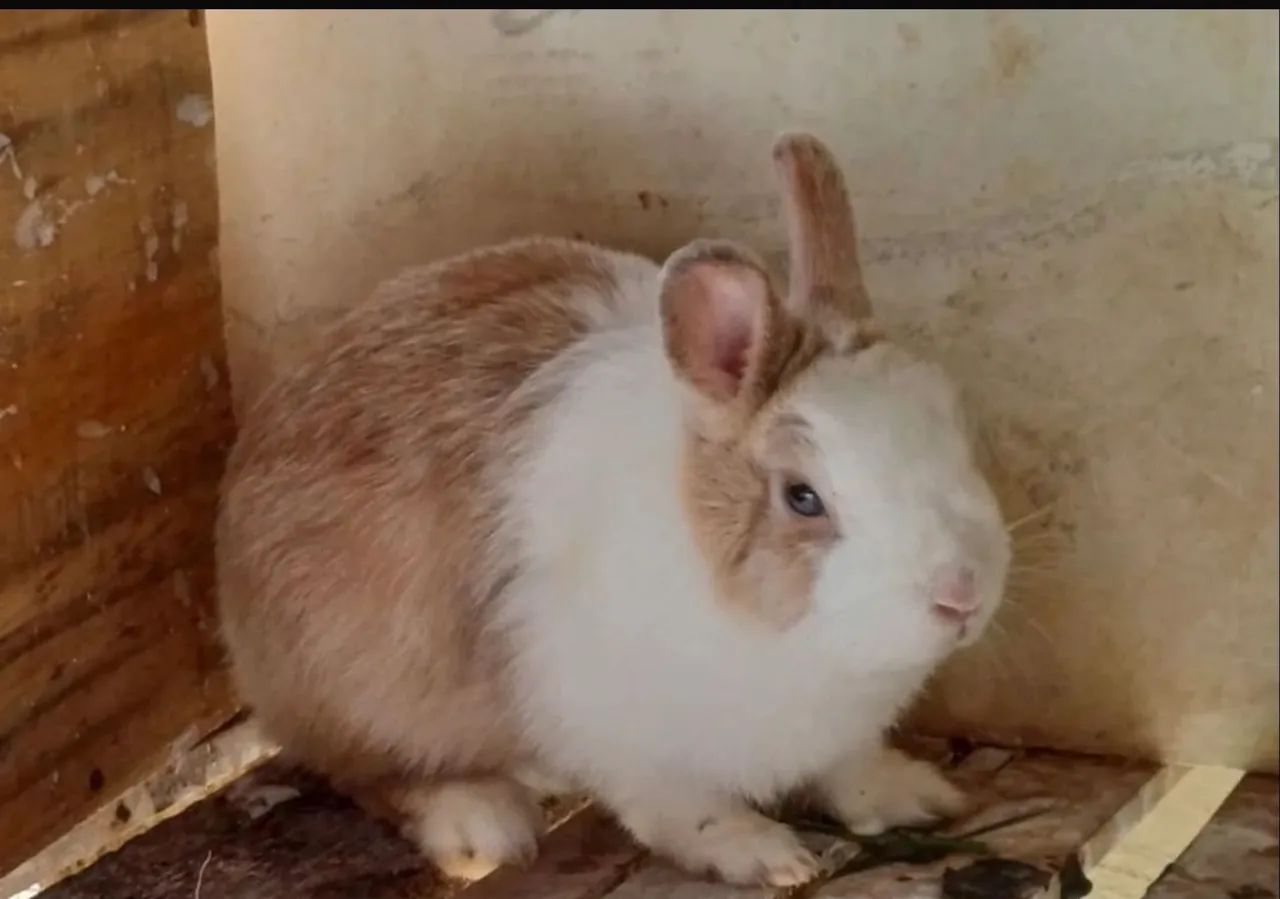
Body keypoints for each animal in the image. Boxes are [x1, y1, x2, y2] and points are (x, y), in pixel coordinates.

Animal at [216, 132, 1011, 887]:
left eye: (953, 421)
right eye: (802, 496)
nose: (962, 595)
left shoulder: (838, 736)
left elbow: (850, 769)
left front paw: (917, 795)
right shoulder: (628, 741)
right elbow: (687, 812)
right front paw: (765, 855)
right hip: (360, 691)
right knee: (369, 773)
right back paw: (480, 820)